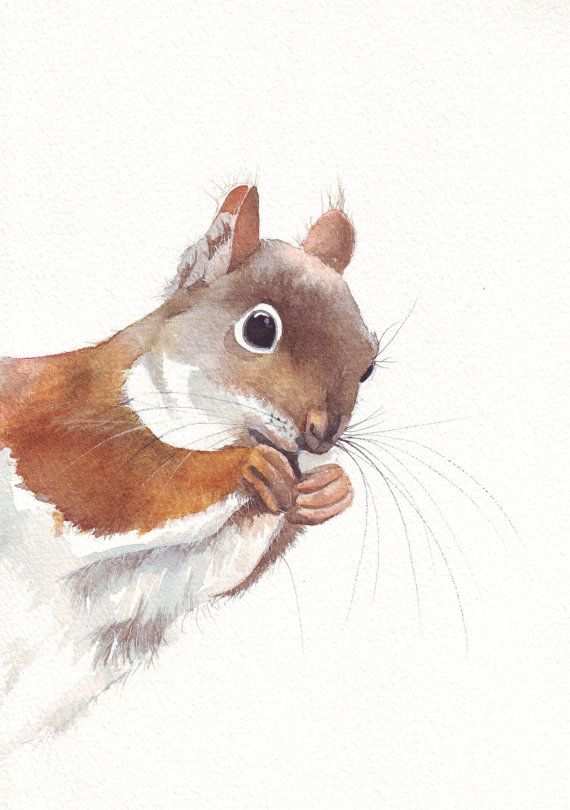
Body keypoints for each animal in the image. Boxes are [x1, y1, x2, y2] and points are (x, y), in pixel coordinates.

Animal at [0, 185, 378, 747]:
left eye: (369, 364)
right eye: (260, 327)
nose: (323, 434)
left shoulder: (167, 581)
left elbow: (221, 565)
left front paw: (327, 492)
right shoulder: (66, 432)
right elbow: (129, 485)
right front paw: (249, 465)